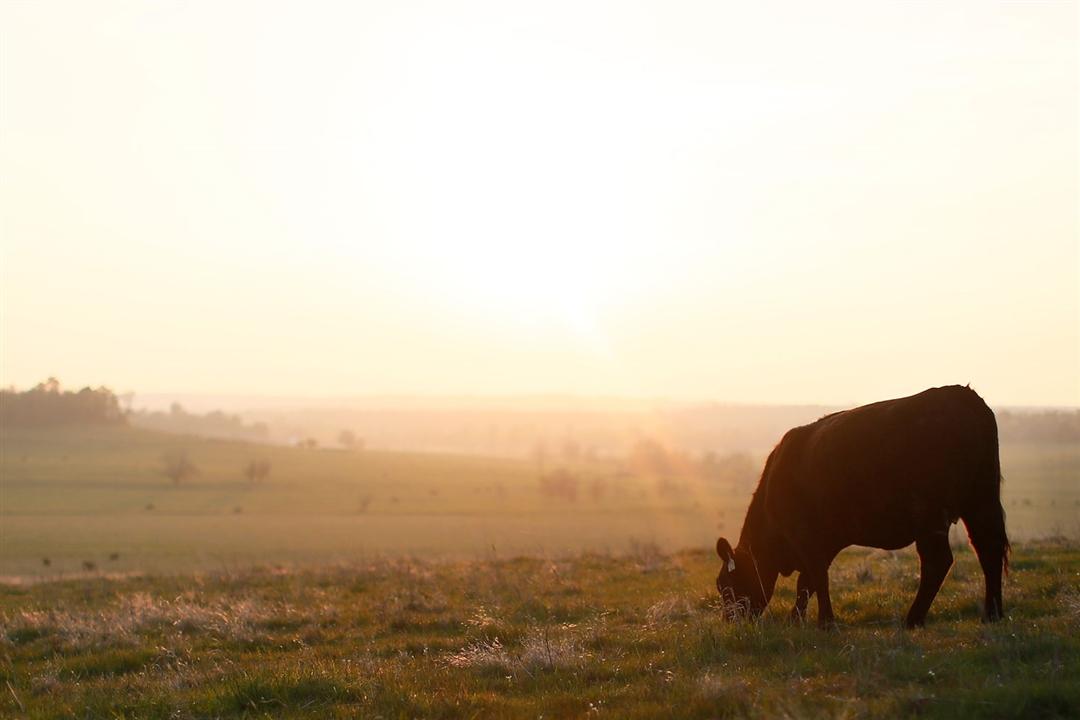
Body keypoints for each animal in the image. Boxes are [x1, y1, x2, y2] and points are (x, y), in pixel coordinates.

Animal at [715, 385, 1009, 628]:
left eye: (725, 586)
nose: (730, 621)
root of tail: (963, 396)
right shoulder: (826, 541)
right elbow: (808, 582)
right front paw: (798, 618)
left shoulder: (806, 537)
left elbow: (815, 578)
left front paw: (823, 621)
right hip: (981, 501)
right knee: (989, 549)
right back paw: (992, 614)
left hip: (930, 515)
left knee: (938, 561)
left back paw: (913, 619)